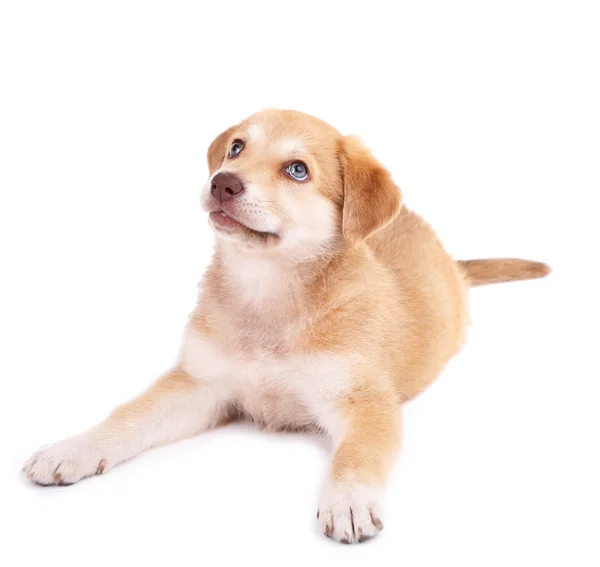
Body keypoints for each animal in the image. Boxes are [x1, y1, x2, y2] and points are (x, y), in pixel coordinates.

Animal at [22, 110, 548, 540]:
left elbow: (358, 453)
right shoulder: (200, 384)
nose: (223, 182)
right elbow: (128, 416)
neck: (269, 295)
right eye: (237, 148)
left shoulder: (365, 402)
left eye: (297, 170)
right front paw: (73, 448)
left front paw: (349, 500)